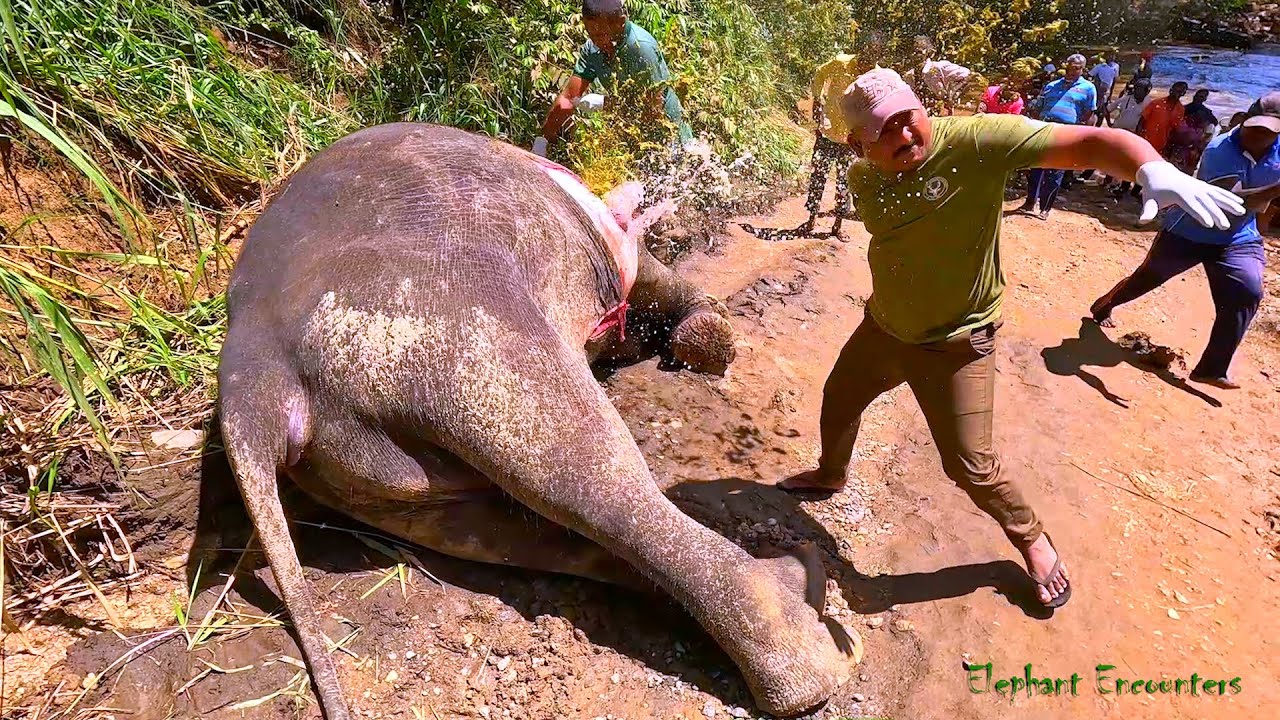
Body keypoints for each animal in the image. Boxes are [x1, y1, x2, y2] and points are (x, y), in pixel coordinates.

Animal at [217, 123, 852, 720]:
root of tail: (253, 380)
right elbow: (660, 285)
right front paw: (708, 340)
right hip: (452, 337)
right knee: (591, 475)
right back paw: (809, 650)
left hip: (366, 469)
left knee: (513, 528)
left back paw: (802, 587)